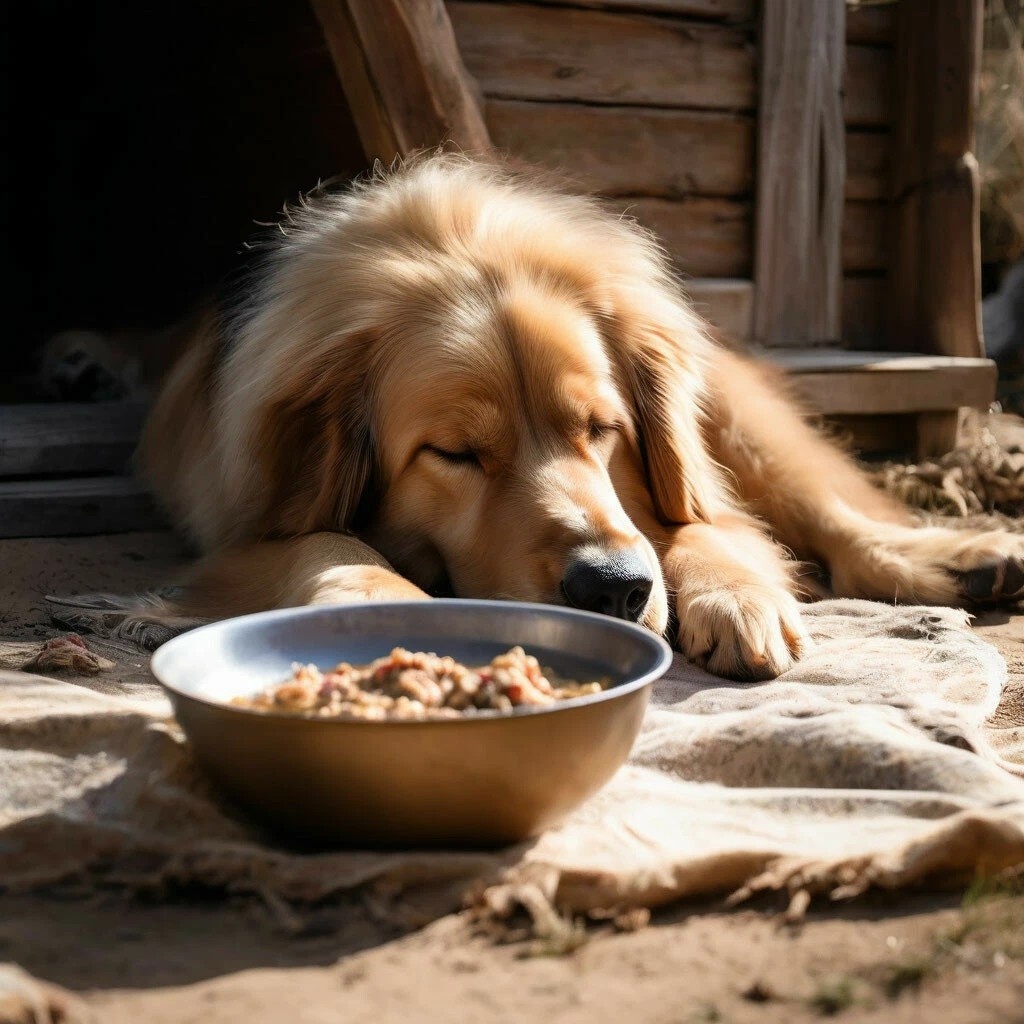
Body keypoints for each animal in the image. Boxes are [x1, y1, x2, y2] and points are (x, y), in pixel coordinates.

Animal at [128, 153, 1024, 679]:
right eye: (455, 453)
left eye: (601, 430)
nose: (615, 589)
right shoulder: (243, 532)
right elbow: (326, 541)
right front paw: (382, 600)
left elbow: (696, 526)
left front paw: (734, 594)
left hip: (729, 411)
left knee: (825, 511)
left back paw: (958, 561)